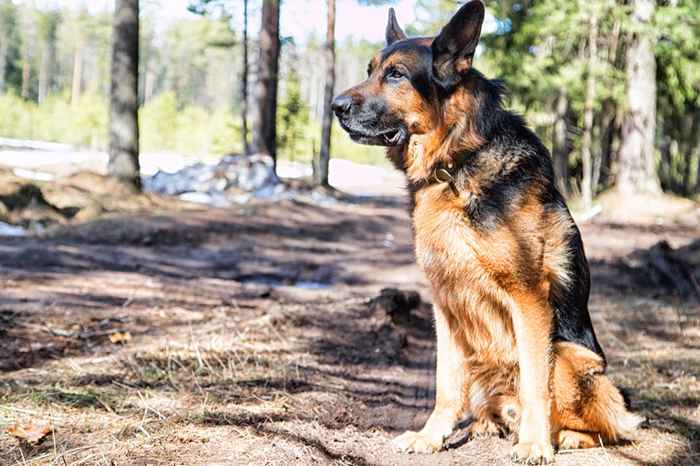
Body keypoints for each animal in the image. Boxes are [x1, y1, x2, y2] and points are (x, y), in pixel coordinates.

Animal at [330, 1, 644, 464]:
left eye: (396, 75)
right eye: (370, 71)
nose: (335, 106)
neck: (455, 162)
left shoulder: (528, 297)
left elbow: (535, 383)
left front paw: (535, 444)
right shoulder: (445, 303)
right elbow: (445, 384)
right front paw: (431, 437)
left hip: (571, 356)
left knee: (609, 425)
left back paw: (559, 437)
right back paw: (486, 424)